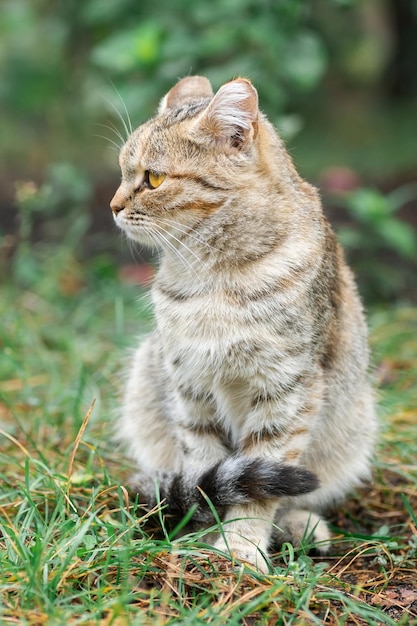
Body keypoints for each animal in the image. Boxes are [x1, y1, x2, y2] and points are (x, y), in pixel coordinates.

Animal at [109, 75, 376, 568]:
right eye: (121, 172)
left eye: (153, 178)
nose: (113, 206)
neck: (213, 278)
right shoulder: (190, 384)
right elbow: (205, 471)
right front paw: (205, 538)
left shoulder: (286, 389)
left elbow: (260, 483)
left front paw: (240, 549)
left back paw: (297, 527)